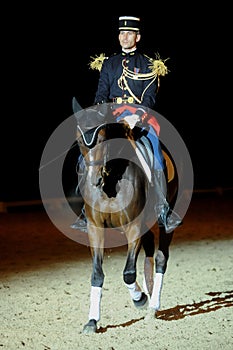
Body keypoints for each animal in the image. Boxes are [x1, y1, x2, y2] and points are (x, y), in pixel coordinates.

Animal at [72, 99, 177, 334]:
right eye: (79, 140)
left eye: (103, 138)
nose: (94, 180)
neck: (111, 179)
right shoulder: (95, 228)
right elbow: (97, 273)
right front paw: (92, 321)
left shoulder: (133, 226)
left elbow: (128, 273)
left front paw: (140, 299)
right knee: (149, 251)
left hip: (166, 217)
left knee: (160, 257)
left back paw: (152, 305)